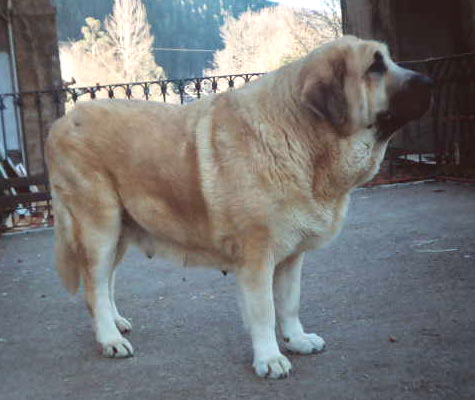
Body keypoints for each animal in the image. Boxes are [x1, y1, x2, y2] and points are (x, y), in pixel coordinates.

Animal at [47, 35, 432, 378]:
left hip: (121, 230)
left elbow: (289, 303)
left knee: (105, 281)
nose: (429, 80)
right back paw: (109, 339)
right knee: (94, 284)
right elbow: (263, 311)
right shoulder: (257, 256)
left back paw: (115, 323)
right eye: (375, 67)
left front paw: (296, 340)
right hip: (100, 226)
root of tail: (60, 123)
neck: (301, 135)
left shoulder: (291, 257)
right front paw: (270, 359)